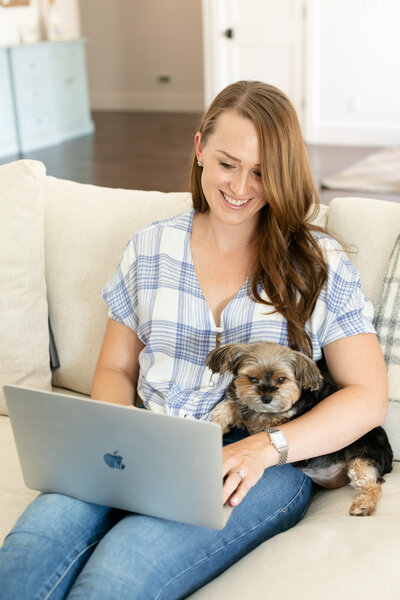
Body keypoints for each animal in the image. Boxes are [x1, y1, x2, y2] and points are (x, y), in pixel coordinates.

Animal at [206, 342, 394, 516]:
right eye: (252, 378)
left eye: (282, 379)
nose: (266, 399)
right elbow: (230, 406)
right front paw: (220, 422)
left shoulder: (272, 421)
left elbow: (253, 417)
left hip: (362, 459)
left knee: (372, 485)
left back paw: (363, 505)